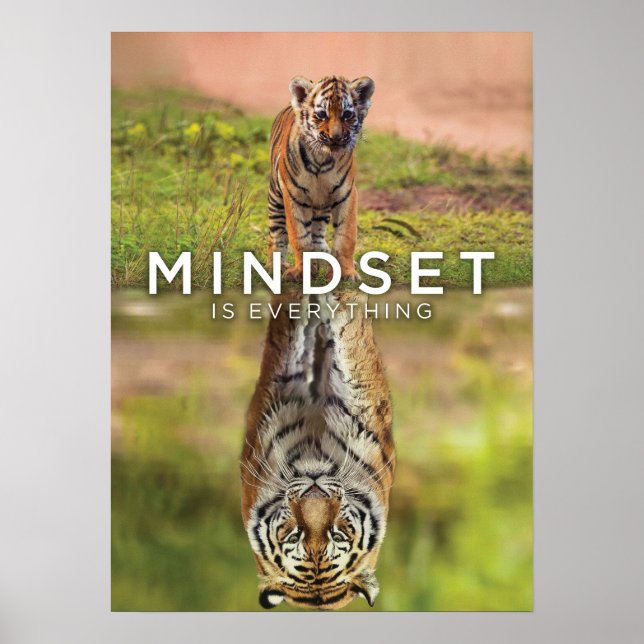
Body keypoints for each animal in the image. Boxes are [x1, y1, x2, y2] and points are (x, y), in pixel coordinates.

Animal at [267, 75, 375, 282]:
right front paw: (301, 272)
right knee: (277, 235)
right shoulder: (294, 196)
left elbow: (345, 237)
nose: (336, 137)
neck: (321, 159)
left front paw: (347, 273)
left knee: (317, 236)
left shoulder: (346, 194)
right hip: (276, 198)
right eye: (322, 114)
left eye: (347, 115)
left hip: (322, 207)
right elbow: (299, 238)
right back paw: (275, 266)